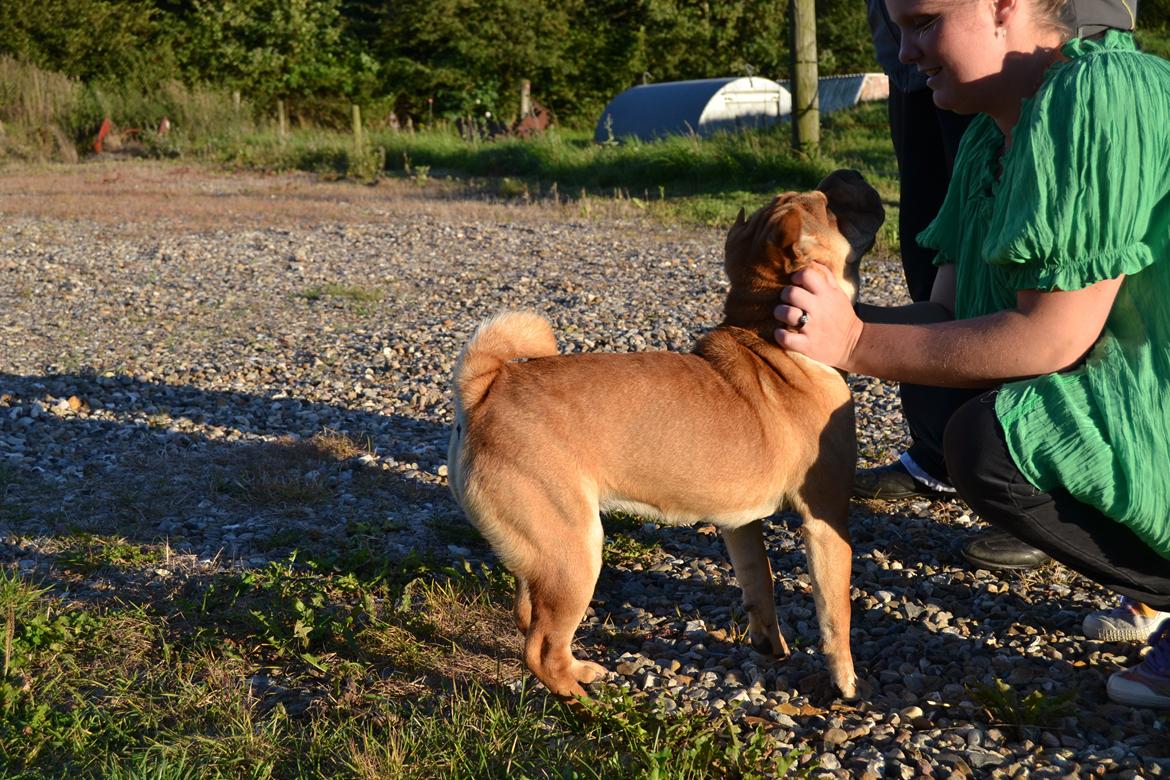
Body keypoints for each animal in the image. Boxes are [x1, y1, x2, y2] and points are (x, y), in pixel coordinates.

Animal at [444, 170, 879, 701]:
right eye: (829, 205)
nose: (847, 176)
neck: (767, 333)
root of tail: (484, 389)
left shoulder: (740, 524)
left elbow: (760, 582)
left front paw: (769, 644)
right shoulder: (825, 521)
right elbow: (836, 614)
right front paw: (846, 680)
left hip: (547, 553)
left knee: (529, 616)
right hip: (576, 552)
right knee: (541, 649)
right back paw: (580, 697)